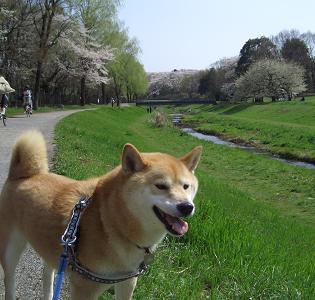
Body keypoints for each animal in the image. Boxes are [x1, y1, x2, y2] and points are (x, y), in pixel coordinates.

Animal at [0, 131, 202, 300]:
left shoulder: (127, 282)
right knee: (9, 280)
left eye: (186, 186)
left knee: (46, 273)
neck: (111, 220)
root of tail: (21, 176)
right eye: (161, 186)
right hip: (10, 251)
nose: (187, 207)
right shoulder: (84, 288)